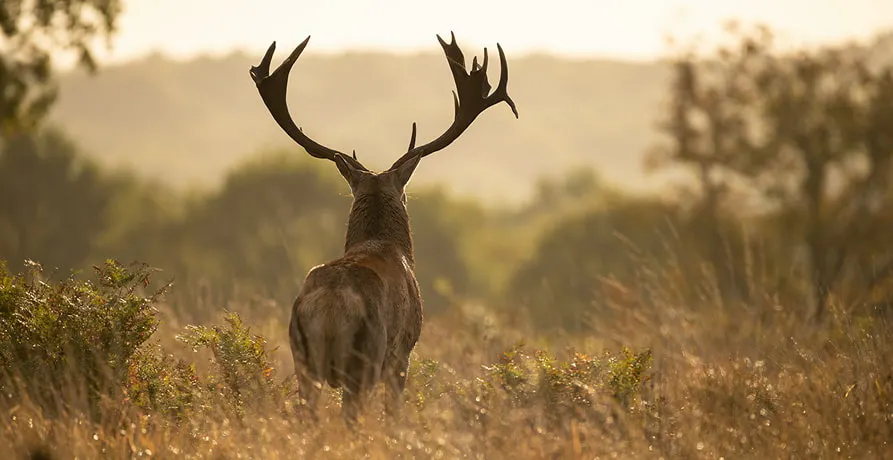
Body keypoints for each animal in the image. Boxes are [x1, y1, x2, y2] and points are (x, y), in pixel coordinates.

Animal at [249, 32, 518, 426]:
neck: (386, 244)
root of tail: (330, 304)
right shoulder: (404, 350)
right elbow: (394, 414)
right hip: (366, 358)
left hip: (303, 359)